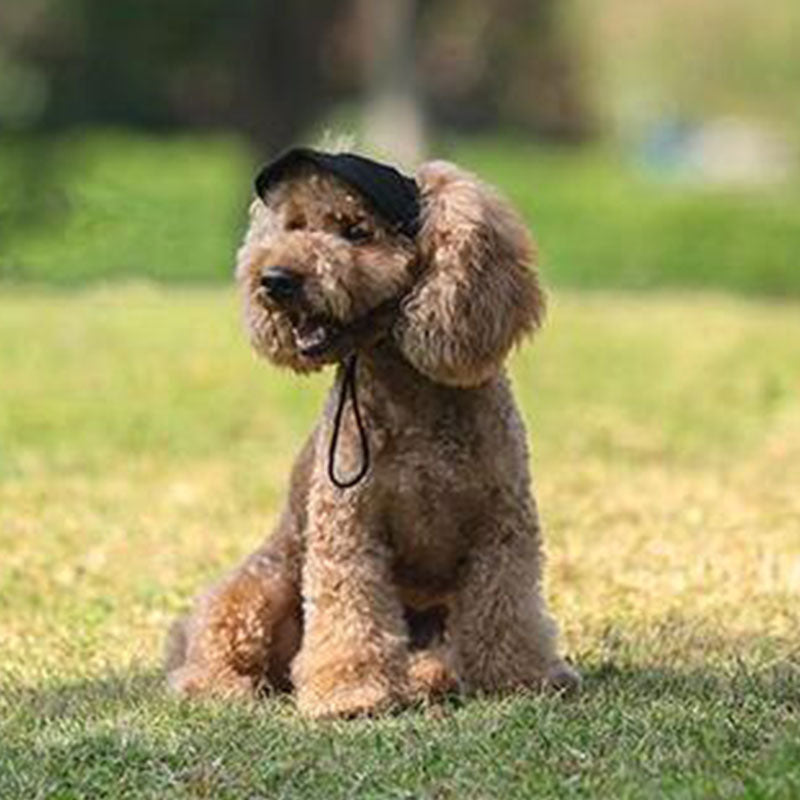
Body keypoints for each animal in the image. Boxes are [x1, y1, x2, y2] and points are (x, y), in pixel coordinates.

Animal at [166, 145, 580, 720]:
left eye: (356, 231)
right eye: (293, 226)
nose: (275, 279)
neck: (411, 396)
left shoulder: (501, 528)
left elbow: (507, 611)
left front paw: (522, 679)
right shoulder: (349, 532)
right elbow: (350, 615)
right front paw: (349, 694)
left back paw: (428, 679)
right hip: (257, 588)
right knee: (210, 647)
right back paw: (221, 685)